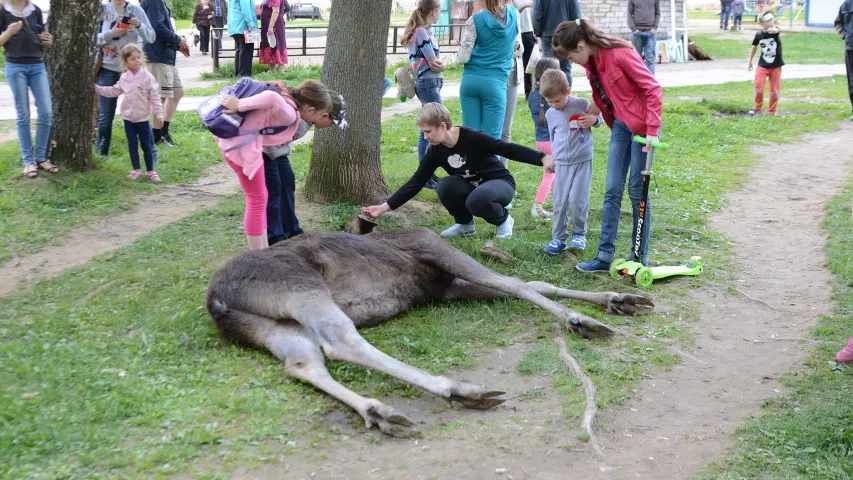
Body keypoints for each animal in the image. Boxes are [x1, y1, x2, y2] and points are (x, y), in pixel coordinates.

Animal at [206, 218, 652, 438]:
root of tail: (217, 301)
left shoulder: (444, 288)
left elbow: (531, 282)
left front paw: (619, 299)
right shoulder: (437, 254)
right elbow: (517, 283)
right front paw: (580, 318)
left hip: (273, 326)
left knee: (301, 364)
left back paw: (380, 411)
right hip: (303, 288)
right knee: (340, 340)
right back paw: (458, 388)